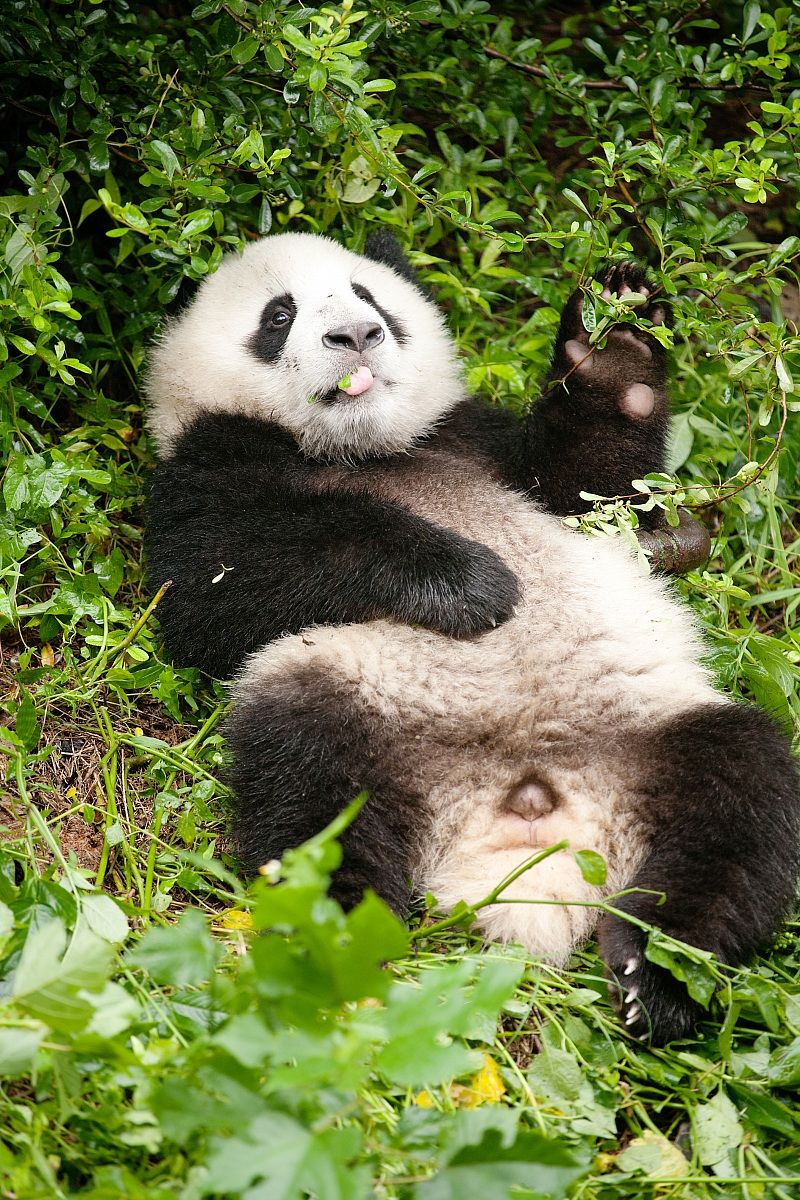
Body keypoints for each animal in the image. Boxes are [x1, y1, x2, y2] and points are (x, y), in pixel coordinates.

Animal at [145, 229, 800, 1044]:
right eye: (279, 316)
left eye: (368, 295)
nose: (355, 336)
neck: (357, 451)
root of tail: (519, 814)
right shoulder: (203, 467)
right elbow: (219, 574)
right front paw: (469, 580)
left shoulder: (478, 443)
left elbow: (597, 490)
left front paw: (616, 341)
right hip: (351, 698)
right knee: (311, 791)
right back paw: (339, 942)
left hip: (653, 729)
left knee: (744, 801)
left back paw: (658, 973)